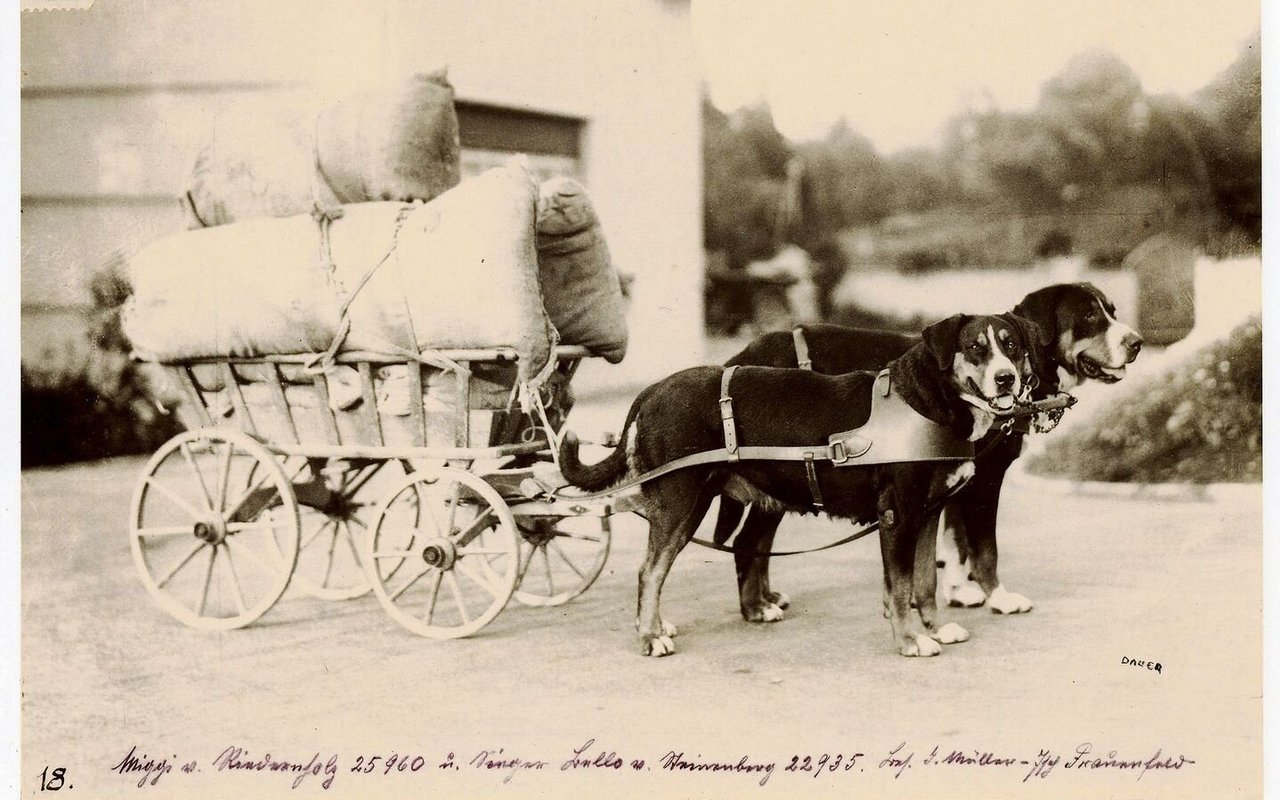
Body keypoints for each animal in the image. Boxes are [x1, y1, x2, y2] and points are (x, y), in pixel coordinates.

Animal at [560, 312, 1039, 655]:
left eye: (1012, 346)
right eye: (975, 348)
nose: (1006, 379)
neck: (927, 401)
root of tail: (654, 389)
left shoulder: (927, 514)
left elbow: (924, 584)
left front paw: (936, 630)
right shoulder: (897, 517)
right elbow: (901, 587)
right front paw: (910, 641)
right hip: (681, 504)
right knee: (650, 572)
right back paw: (650, 636)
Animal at [716, 282, 1146, 624]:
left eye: (1112, 311)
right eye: (1089, 315)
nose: (1137, 343)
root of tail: (739, 356)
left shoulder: (957, 475)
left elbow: (955, 541)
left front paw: (955, 591)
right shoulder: (985, 478)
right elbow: (984, 548)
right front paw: (998, 597)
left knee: (756, 540)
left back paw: (767, 598)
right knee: (748, 541)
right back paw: (759, 607)